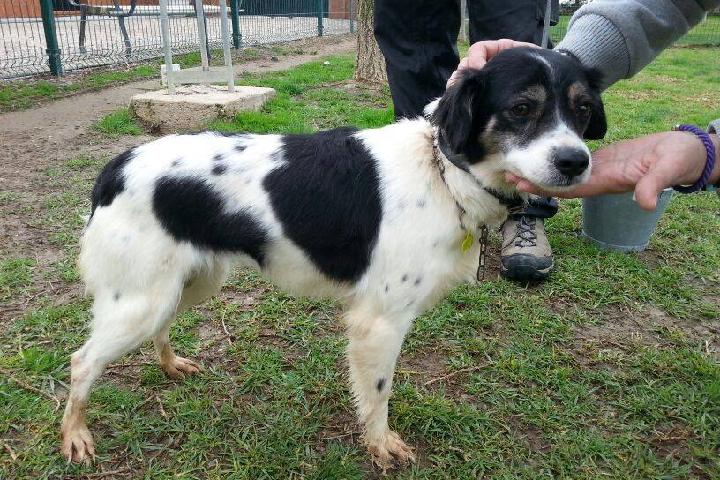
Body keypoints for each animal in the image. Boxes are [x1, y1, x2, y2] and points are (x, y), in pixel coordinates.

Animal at [60, 47, 606, 468]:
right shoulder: (379, 322)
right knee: (82, 361)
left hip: (186, 281)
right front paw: (380, 444)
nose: (576, 162)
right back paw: (75, 435)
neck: (442, 171)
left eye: (582, 108)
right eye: (521, 108)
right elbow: (378, 392)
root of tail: (117, 165)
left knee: (160, 326)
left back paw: (171, 366)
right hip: (141, 298)